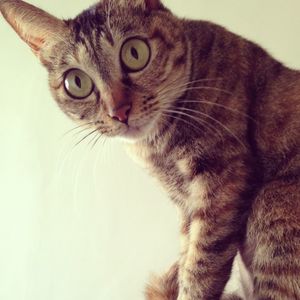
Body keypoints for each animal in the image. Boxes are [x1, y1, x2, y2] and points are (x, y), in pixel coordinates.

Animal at [0, 0, 300, 300]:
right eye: (76, 82)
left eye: (135, 53)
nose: (119, 111)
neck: (157, 148)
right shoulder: (186, 207)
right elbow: (187, 256)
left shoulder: (224, 181)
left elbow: (201, 267)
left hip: (272, 203)